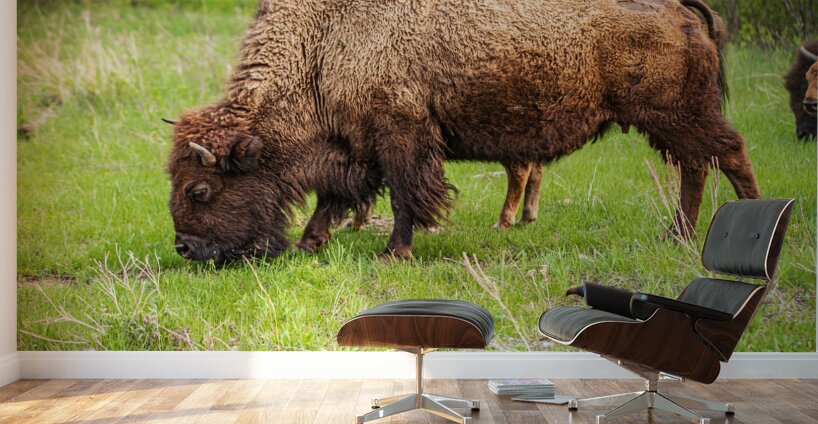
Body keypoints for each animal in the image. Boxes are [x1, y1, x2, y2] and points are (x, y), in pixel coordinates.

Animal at [167, 0, 759, 263]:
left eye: (200, 189)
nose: (186, 249)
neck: (323, 42)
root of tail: (682, 10)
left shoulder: (401, 134)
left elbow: (406, 195)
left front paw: (395, 252)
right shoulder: (359, 145)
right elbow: (339, 195)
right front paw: (313, 241)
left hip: (677, 116)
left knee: (729, 153)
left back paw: (749, 228)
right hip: (673, 122)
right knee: (698, 166)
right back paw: (676, 236)